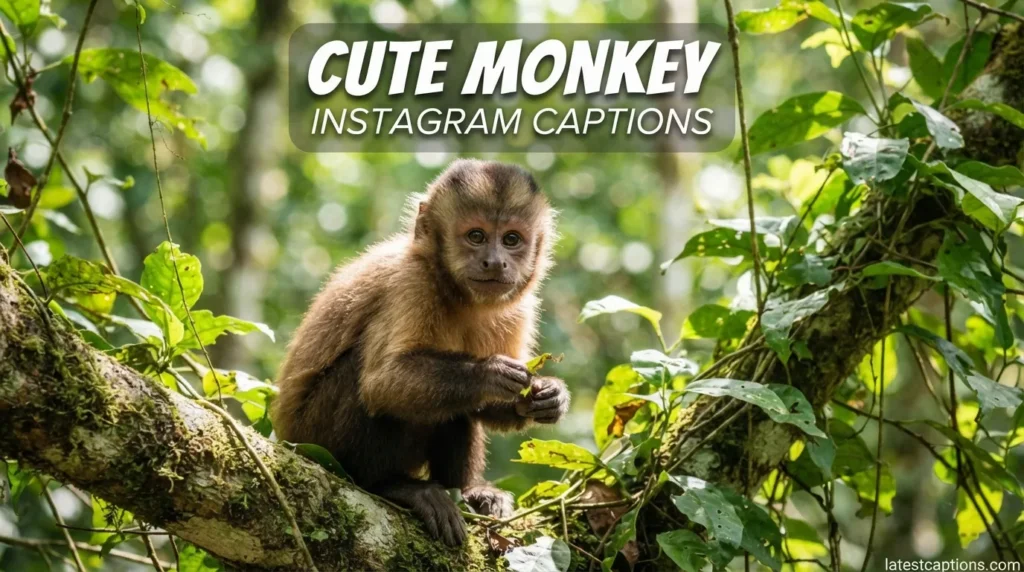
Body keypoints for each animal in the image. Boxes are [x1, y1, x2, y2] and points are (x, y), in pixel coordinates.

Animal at [272, 159, 570, 546]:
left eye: (511, 240)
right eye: (476, 236)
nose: (495, 262)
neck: (461, 296)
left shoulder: (520, 307)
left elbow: (494, 402)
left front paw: (547, 396)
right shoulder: (412, 282)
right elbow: (382, 383)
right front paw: (489, 373)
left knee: (458, 409)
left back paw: (470, 493)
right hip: (314, 442)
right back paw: (390, 486)